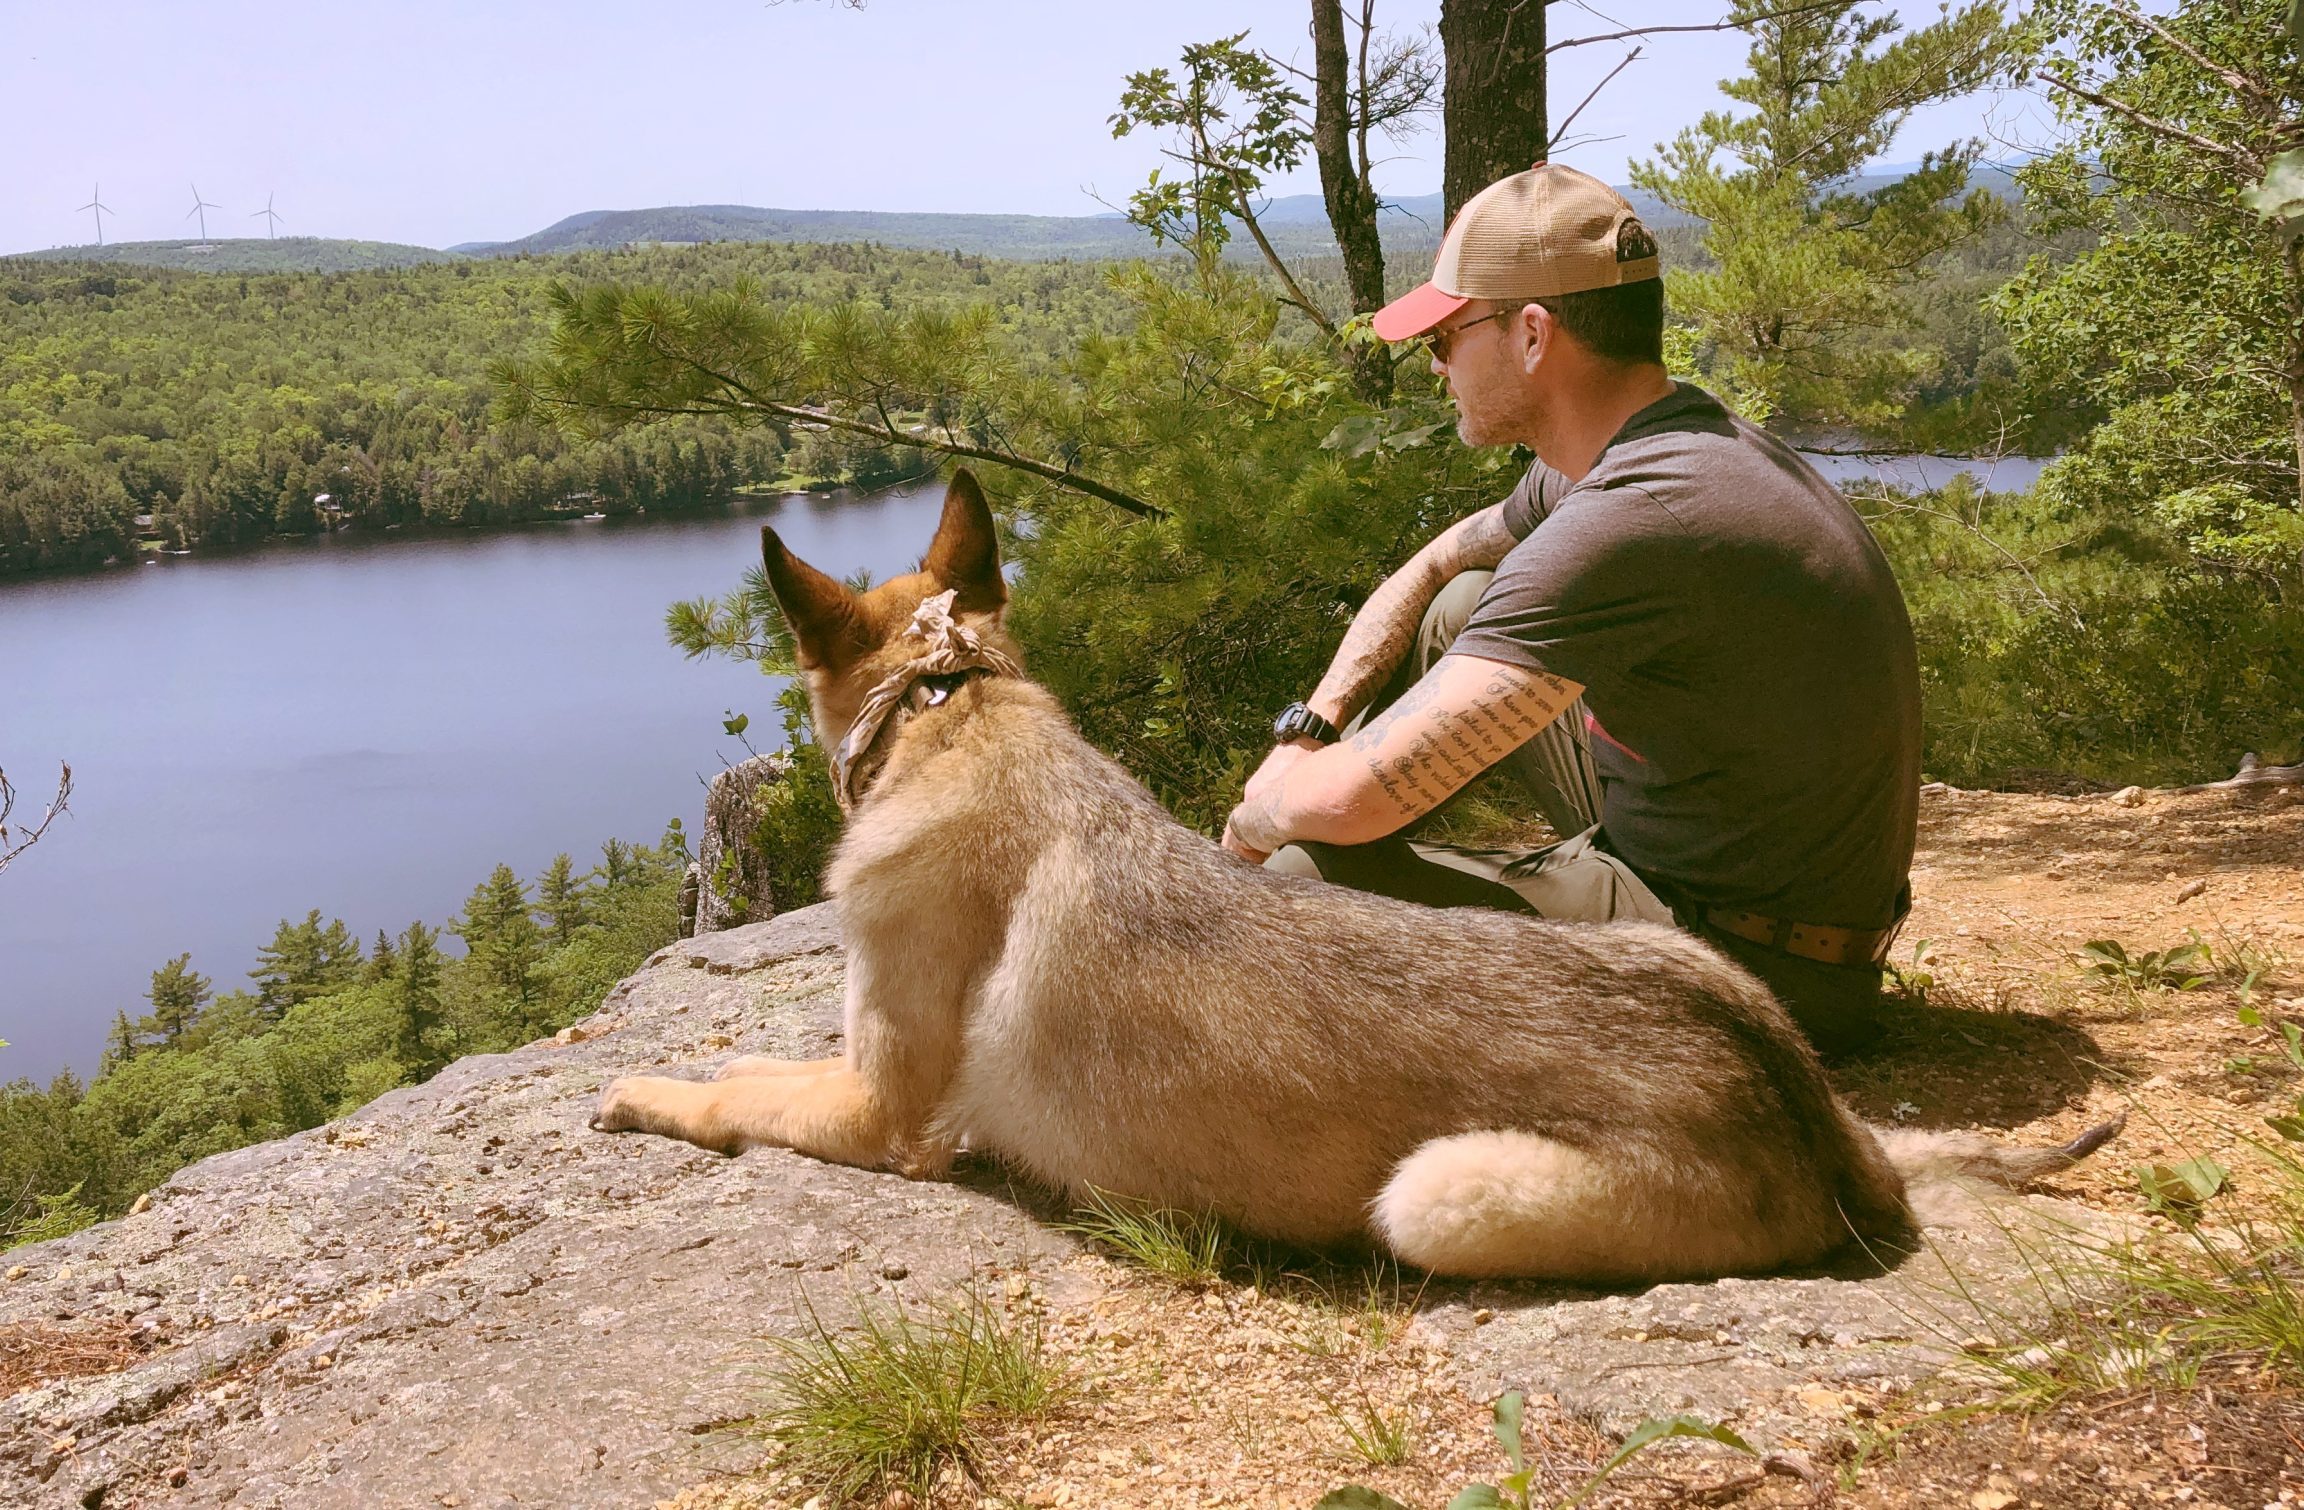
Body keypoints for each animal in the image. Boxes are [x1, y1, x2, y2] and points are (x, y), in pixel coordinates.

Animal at [599, 472, 2119, 1290]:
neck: (951, 707)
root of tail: (1809, 1121)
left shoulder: (881, 1109)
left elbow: (733, 1091)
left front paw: (637, 1089)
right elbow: (755, 1057)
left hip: (1436, 1195)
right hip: (1700, 963)